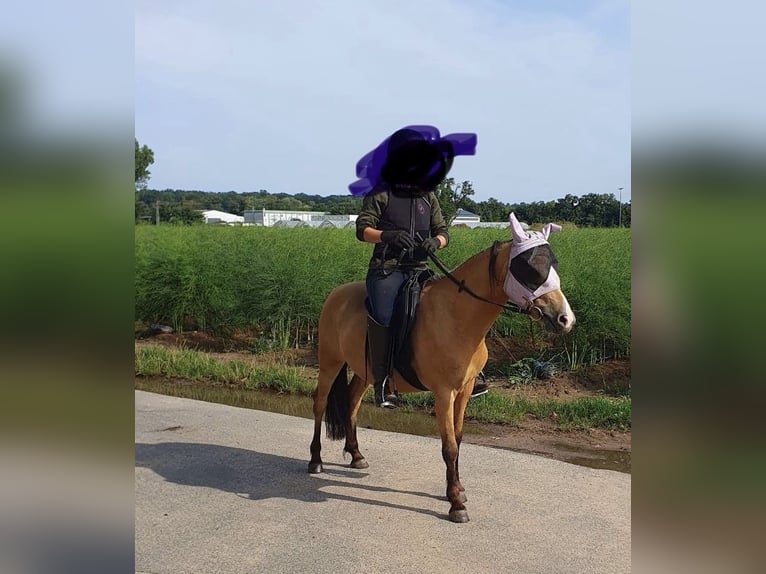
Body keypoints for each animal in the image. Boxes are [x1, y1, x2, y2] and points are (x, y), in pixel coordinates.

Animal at [308, 213, 575, 523]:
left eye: (554, 264)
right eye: (529, 268)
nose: (565, 319)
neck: (458, 316)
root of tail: (335, 295)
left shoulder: (465, 390)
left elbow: (457, 440)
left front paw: (456, 490)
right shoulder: (444, 393)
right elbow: (448, 446)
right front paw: (456, 504)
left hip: (366, 373)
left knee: (351, 404)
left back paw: (356, 455)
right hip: (329, 363)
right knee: (319, 404)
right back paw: (315, 460)